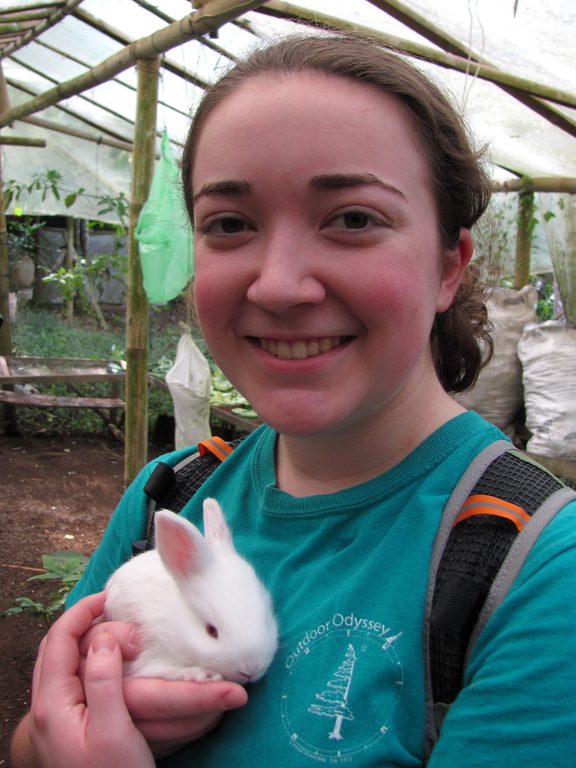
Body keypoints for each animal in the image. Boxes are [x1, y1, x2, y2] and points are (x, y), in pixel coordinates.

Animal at [103, 498, 280, 684]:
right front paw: (201, 674)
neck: (173, 623)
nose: (251, 669)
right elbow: (156, 669)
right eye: (211, 631)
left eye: (266, 618)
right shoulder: (148, 654)